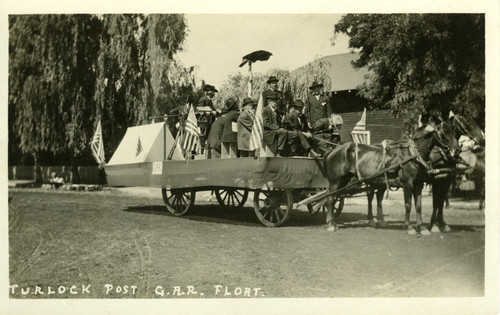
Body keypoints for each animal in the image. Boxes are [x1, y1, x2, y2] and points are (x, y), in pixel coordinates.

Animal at [324, 122, 460, 236]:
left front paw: (422, 228)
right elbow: (408, 205)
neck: (412, 155)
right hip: (335, 181)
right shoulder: (408, 184)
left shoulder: (419, 184)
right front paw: (409, 227)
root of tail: (335, 149)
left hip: (348, 181)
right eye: (445, 131)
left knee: (339, 198)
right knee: (330, 199)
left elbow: (419, 206)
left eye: (454, 130)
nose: (457, 150)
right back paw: (331, 224)